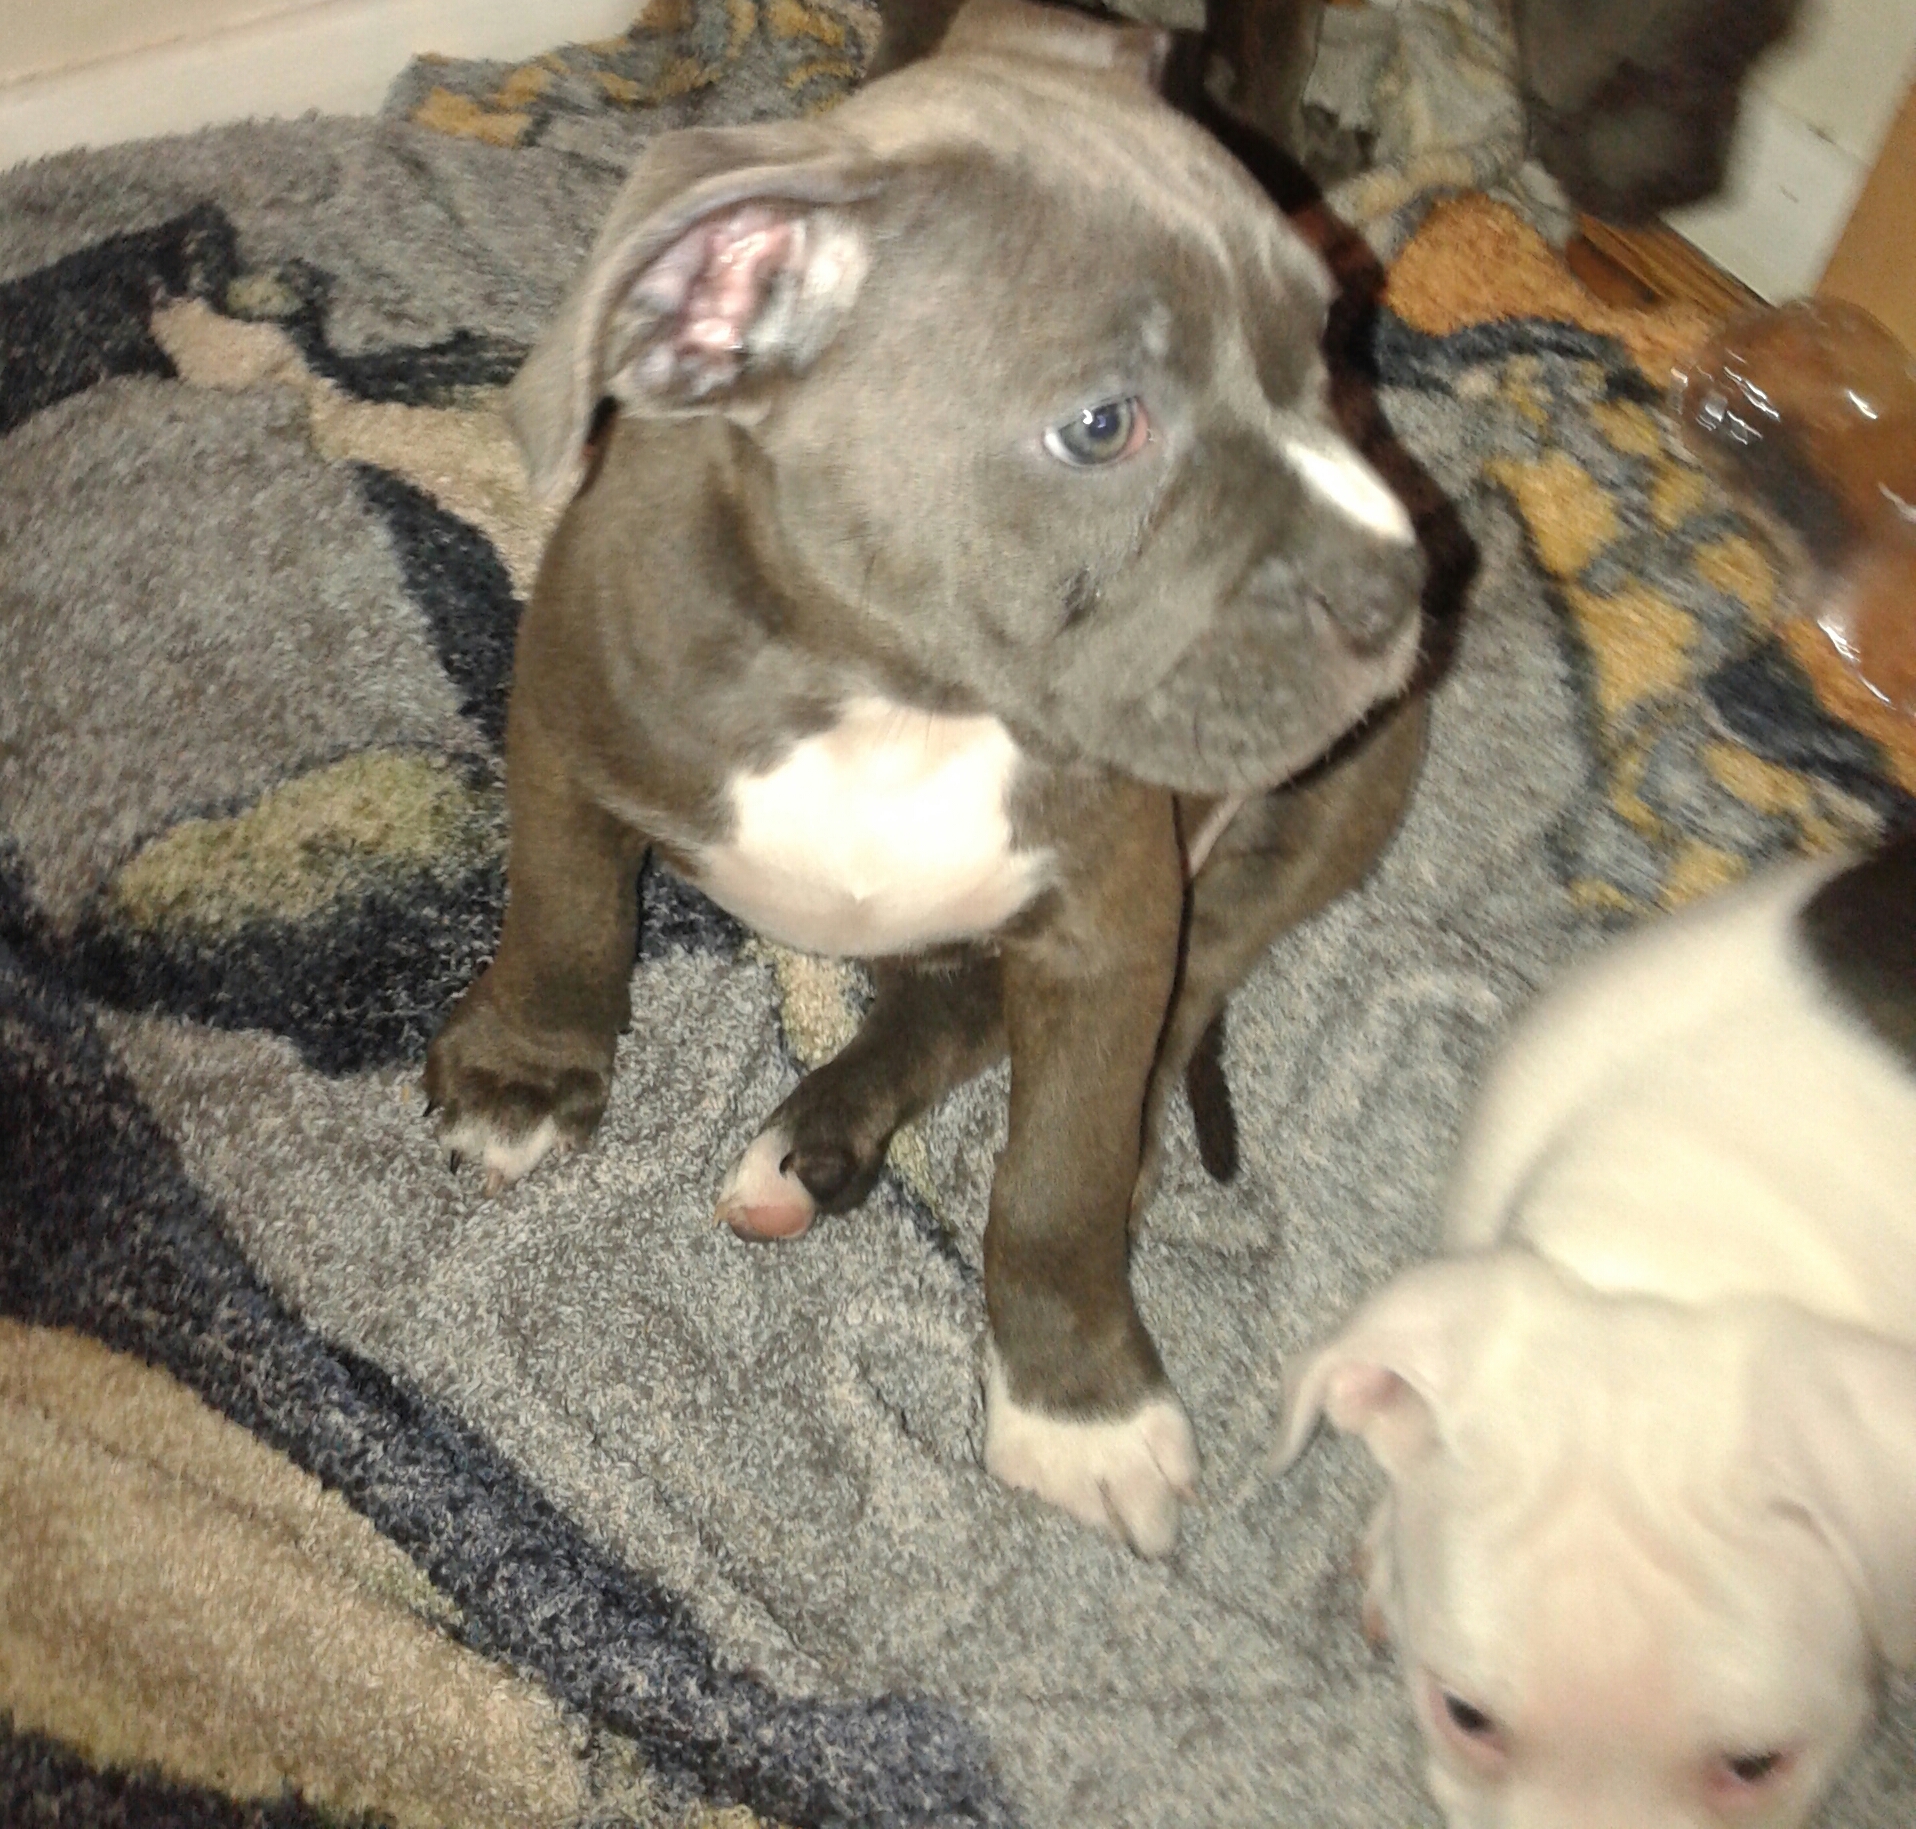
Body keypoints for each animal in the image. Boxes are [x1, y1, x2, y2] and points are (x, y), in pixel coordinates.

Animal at [424, 0, 1428, 1556]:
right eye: (1103, 425)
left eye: (1325, 337)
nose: (1401, 589)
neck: (891, 696)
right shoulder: (562, 733)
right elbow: (566, 916)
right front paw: (523, 1072)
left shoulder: (1110, 922)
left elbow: (1057, 1178)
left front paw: (1077, 1402)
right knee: (947, 1004)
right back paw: (815, 1142)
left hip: (1313, 822)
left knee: (1145, 1007)